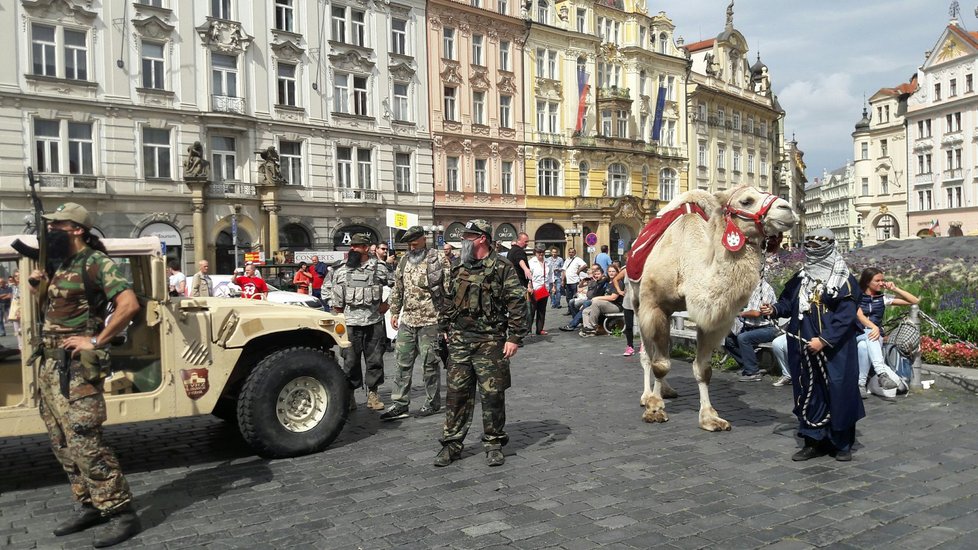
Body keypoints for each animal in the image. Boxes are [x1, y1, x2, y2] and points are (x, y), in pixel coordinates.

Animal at [628, 188, 796, 434]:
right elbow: (660, 364)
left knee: (663, 350)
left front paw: (710, 418)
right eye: (746, 201)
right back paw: (647, 396)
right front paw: (655, 410)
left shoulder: (712, 319)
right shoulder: (654, 305)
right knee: (648, 355)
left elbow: (703, 369)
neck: (685, 264)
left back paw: (666, 390)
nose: (787, 209)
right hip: (637, 302)